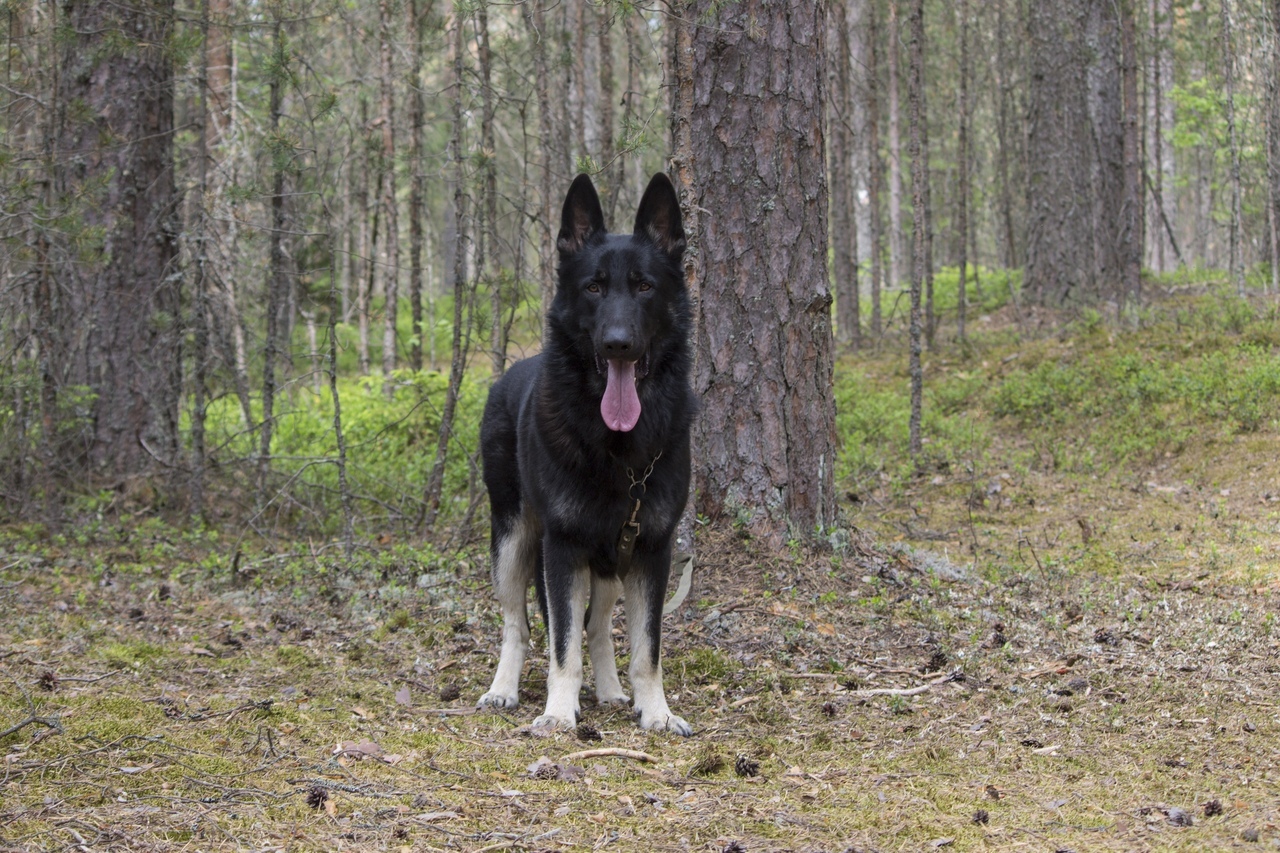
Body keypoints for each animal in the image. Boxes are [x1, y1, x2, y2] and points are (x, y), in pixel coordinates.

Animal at [478, 171, 696, 732]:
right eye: (593, 288)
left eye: (644, 286)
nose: (618, 343)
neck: (618, 449)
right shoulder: (563, 549)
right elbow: (562, 645)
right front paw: (558, 712)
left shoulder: (649, 552)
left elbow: (646, 649)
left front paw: (655, 711)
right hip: (512, 542)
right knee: (518, 625)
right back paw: (503, 689)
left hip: (611, 562)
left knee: (596, 627)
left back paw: (614, 692)